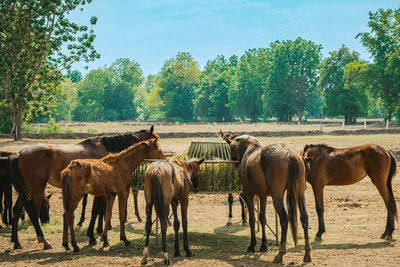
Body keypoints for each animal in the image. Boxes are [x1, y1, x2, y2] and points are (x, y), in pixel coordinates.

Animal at [8, 126, 159, 251]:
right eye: (157, 146)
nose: (163, 157)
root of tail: (19, 153)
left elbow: (102, 211)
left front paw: (100, 233)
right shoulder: (101, 192)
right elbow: (96, 211)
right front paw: (94, 235)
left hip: (26, 190)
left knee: (17, 209)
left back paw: (16, 242)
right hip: (37, 190)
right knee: (33, 213)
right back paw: (44, 241)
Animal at [220, 131, 310, 264]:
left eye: (231, 148)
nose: (234, 162)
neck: (250, 148)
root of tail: (289, 154)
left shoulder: (249, 194)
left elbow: (252, 219)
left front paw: (252, 245)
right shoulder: (263, 196)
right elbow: (262, 218)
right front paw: (263, 245)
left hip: (277, 197)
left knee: (284, 218)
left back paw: (280, 253)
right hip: (299, 193)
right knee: (304, 217)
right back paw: (307, 253)